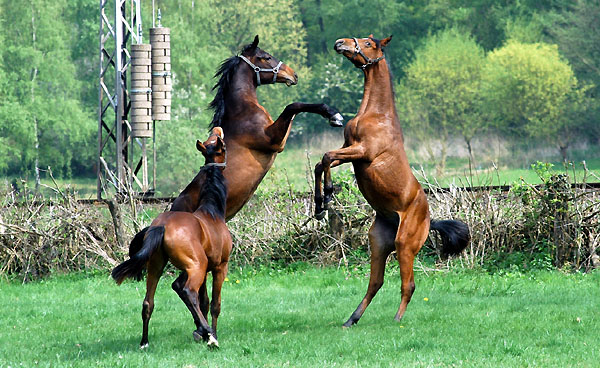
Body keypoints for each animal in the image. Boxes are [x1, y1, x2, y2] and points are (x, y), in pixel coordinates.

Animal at [112, 128, 232, 350]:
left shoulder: (203, 270)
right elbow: (214, 304)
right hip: (196, 267)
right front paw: (211, 333)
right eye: (222, 145)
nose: (218, 130)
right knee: (188, 291)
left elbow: (203, 301)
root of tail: (161, 225)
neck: (211, 212)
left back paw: (144, 342)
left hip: (156, 266)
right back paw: (209, 335)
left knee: (148, 302)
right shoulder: (219, 267)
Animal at [314, 35, 468, 328]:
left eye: (368, 43)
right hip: (379, 243)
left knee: (408, 285)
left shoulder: (362, 152)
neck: (376, 115)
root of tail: (430, 219)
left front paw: (327, 194)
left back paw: (397, 320)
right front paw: (319, 205)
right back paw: (351, 319)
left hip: (405, 245)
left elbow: (326, 157)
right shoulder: (349, 151)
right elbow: (321, 162)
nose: (340, 42)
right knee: (375, 282)